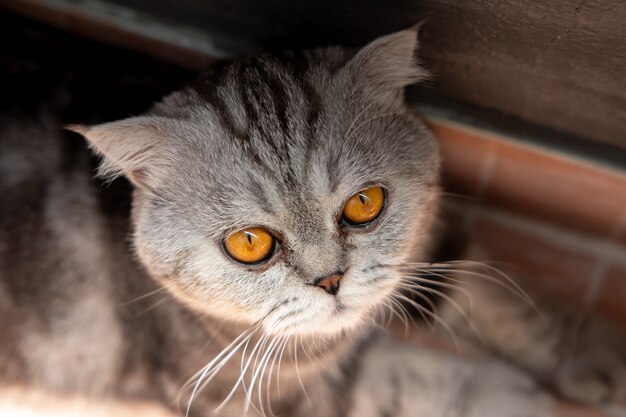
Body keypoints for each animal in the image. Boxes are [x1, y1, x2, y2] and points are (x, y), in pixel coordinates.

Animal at [1, 26, 624, 416]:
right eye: (249, 242)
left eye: (365, 204)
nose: (331, 281)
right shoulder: (242, 390)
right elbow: (388, 376)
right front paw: (508, 394)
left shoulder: (425, 239)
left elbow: (492, 291)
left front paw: (597, 355)